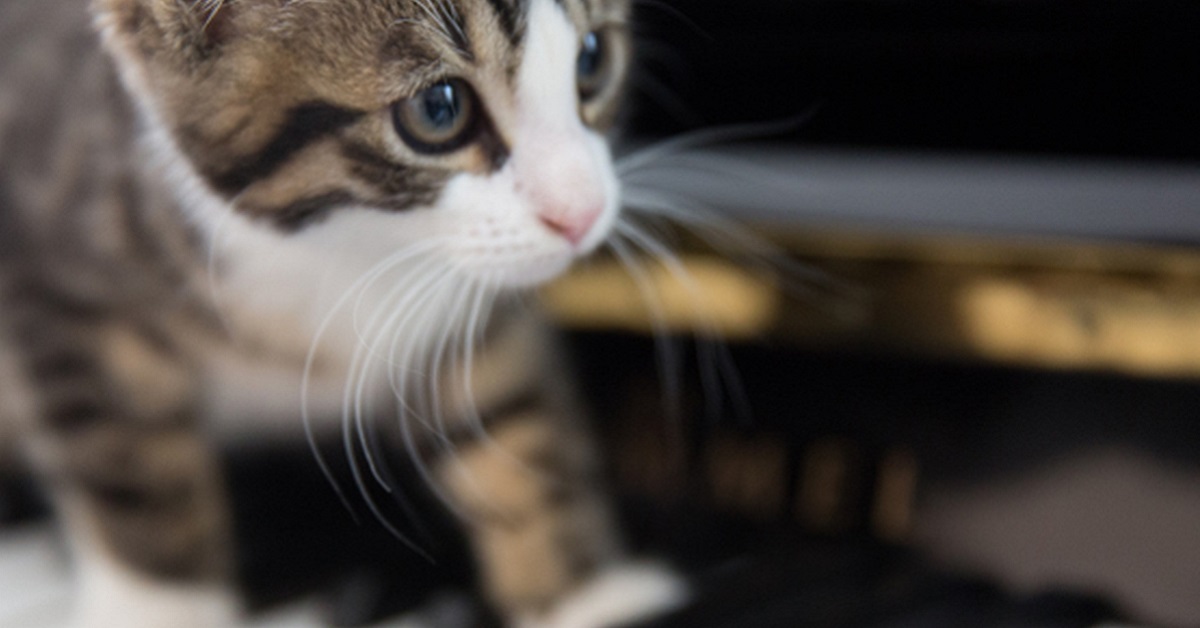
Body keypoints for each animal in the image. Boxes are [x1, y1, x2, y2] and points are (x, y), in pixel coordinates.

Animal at [0, 0, 691, 624]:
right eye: (438, 109)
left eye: (592, 60)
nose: (582, 214)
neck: (342, 246)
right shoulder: (63, 283)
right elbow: (134, 467)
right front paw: (160, 611)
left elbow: (513, 415)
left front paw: (581, 597)